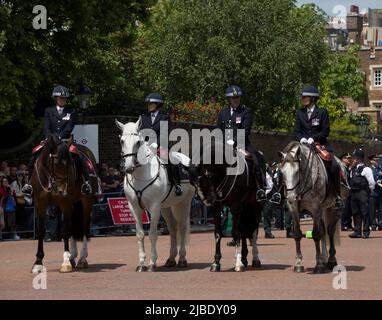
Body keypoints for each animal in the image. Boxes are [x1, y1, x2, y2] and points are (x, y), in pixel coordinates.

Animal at [30, 134, 97, 274]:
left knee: (84, 227)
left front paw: (65, 262)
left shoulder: (65, 203)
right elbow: (41, 232)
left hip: (86, 201)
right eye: (55, 164)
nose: (63, 192)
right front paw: (38, 263)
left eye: (71, 163)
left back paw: (82, 259)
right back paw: (73, 257)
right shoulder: (39, 205)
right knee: (73, 226)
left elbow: (65, 231)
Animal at [115, 117, 194, 272]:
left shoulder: (154, 206)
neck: (141, 173)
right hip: (166, 207)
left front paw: (152, 263)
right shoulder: (134, 207)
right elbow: (140, 234)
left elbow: (152, 234)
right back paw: (171, 259)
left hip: (184, 203)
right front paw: (141, 264)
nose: (128, 167)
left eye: (138, 142)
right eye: (122, 141)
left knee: (182, 227)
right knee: (173, 228)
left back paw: (182, 259)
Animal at [189, 140, 266, 272]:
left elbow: (236, 233)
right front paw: (216, 262)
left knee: (253, 231)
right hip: (244, 208)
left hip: (255, 206)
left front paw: (238, 263)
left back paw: (255, 258)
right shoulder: (217, 208)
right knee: (244, 230)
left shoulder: (236, 206)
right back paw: (244, 258)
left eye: (207, 176)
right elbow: (218, 233)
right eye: (192, 182)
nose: (205, 199)